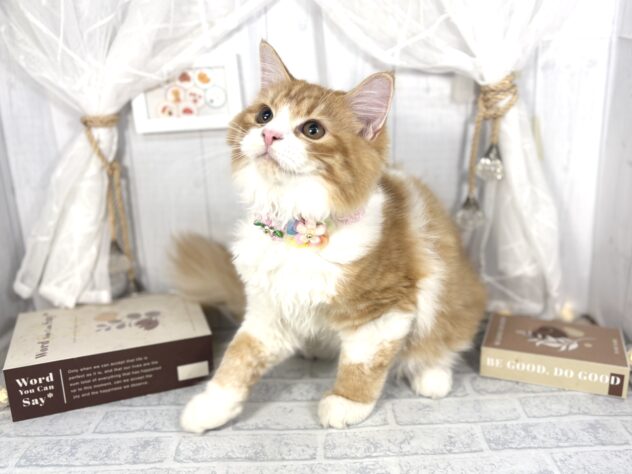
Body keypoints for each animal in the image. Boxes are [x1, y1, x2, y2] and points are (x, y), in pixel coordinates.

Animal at [174, 40, 486, 432]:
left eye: (312, 130)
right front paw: (213, 406)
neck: (294, 228)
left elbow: (362, 366)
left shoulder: (384, 311)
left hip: (449, 293)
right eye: (264, 115)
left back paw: (432, 376)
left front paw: (346, 403)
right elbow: (238, 357)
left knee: (442, 340)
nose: (269, 135)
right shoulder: (269, 309)